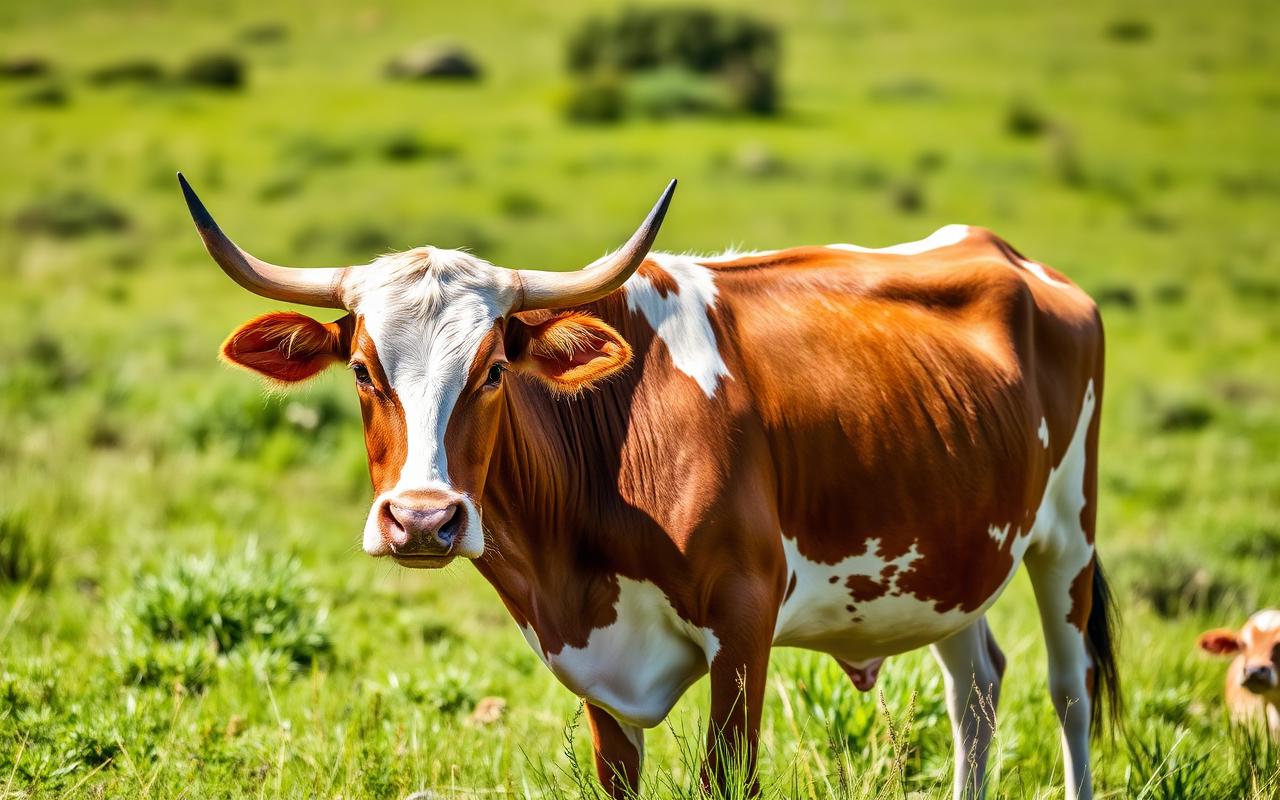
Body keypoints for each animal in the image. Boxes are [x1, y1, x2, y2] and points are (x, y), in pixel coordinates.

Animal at [178, 173, 1119, 799]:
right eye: (364, 371)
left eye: (492, 370)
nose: (422, 521)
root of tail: (1010, 256)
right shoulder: (599, 669)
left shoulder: (744, 626)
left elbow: (724, 778)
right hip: (949, 563)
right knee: (977, 691)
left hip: (1066, 537)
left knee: (1070, 693)